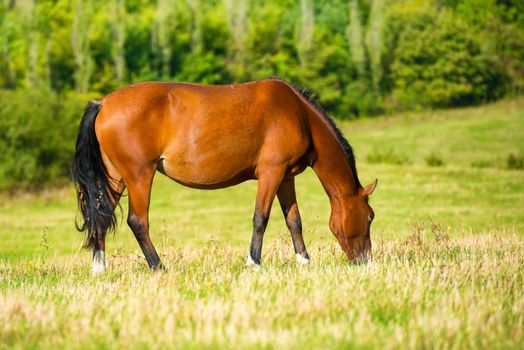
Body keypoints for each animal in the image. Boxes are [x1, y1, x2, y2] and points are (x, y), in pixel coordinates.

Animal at [70, 78, 376, 274]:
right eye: (371, 217)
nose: (365, 261)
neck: (299, 115)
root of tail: (102, 103)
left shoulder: (285, 178)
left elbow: (294, 221)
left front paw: (304, 261)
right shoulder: (271, 172)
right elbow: (261, 218)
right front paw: (254, 262)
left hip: (115, 178)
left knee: (101, 217)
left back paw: (100, 269)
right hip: (139, 175)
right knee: (138, 221)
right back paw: (158, 267)